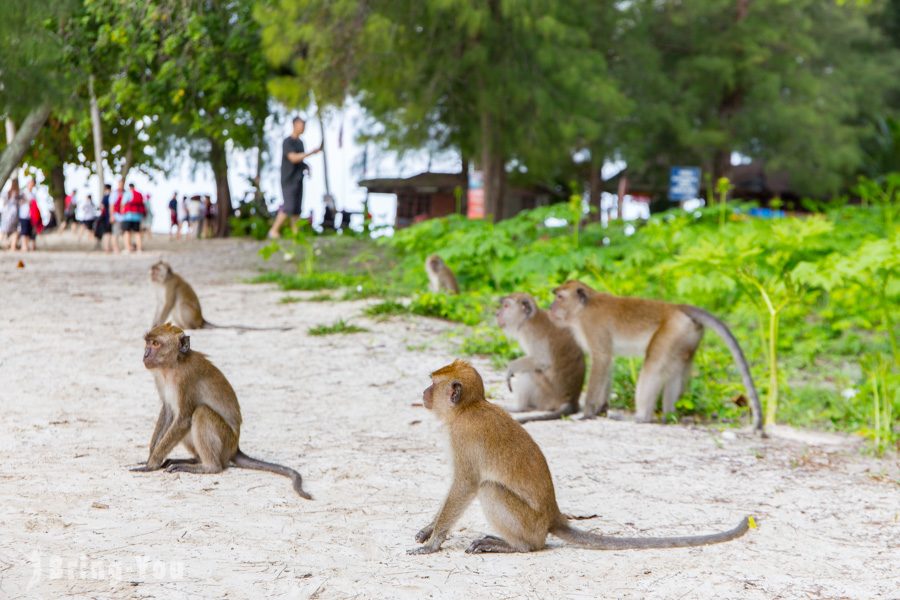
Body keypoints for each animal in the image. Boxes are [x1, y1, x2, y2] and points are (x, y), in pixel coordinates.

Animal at [130, 322, 312, 500]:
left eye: (156, 344)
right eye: (148, 343)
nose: (145, 354)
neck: (173, 365)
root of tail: (235, 447)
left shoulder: (185, 379)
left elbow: (183, 419)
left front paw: (151, 464)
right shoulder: (160, 379)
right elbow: (168, 412)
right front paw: (150, 458)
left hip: (225, 440)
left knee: (201, 412)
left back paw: (208, 467)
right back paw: (193, 460)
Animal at [149, 258, 288, 330]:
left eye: (156, 270)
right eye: (152, 269)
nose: (152, 275)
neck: (163, 281)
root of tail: (201, 320)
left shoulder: (170, 286)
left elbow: (168, 304)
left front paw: (157, 326)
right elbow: (160, 304)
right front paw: (153, 325)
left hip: (193, 317)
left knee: (182, 306)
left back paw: (188, 328)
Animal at [408, 358, 752, 556]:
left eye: (433, 383)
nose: (423, 393)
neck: (470, 407)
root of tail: (553, 516)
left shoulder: (463, 436)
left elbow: (465, 485)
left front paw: (435, 541)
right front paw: (428, 529)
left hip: (528, 523)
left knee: (489, 489)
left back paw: (519, 546)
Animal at [496, 292, 588, 422]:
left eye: (506, 306)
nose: (497, 314)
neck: (529, 320)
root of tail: (570, 400)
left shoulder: (531, 334)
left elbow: (543, 361)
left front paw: (511, 366)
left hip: (547, 396)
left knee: (528, 373)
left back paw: (519, 408)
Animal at [544, 278, 764, 434]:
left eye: (559, 297)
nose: (550, 308)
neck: (582, 309)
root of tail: (676, 307)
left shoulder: (592, 325)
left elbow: (602, 359)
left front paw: (587, 413)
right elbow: (608, 362)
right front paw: (601, 409)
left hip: (671, 332)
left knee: (653, 366)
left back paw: (641, 417)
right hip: (686, 336)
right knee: (677, 370)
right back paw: (669, 416)